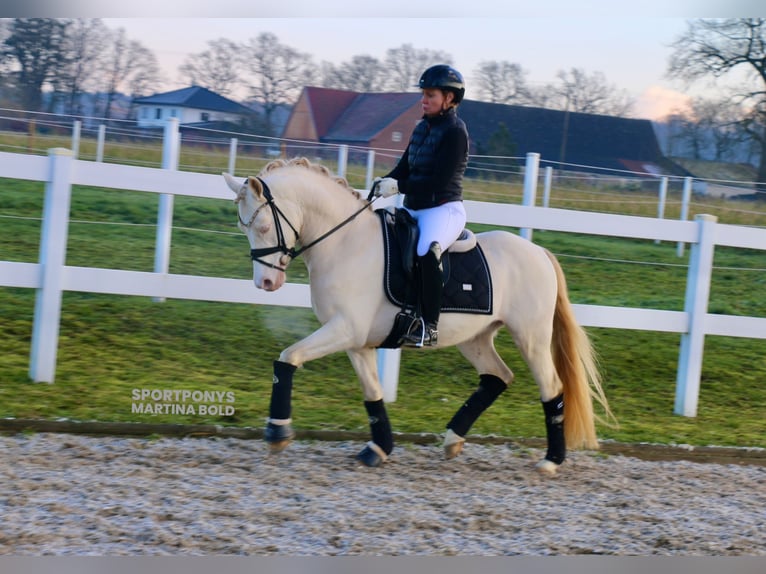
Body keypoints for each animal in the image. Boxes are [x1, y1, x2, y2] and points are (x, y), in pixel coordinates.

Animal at [222, 158, 612, 476]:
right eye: (244, 229)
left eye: (262, 227)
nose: (266, 283)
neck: (345, 243)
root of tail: (539, 252)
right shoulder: (356, 340)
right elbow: (372, 393)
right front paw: (378, 448)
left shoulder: (344, 330)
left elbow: (288, 358)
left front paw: (277, 430)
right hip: (475, 338)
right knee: (497, 377)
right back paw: (453, 439)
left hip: (531, 337)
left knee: (552, 388)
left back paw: (551, 460)